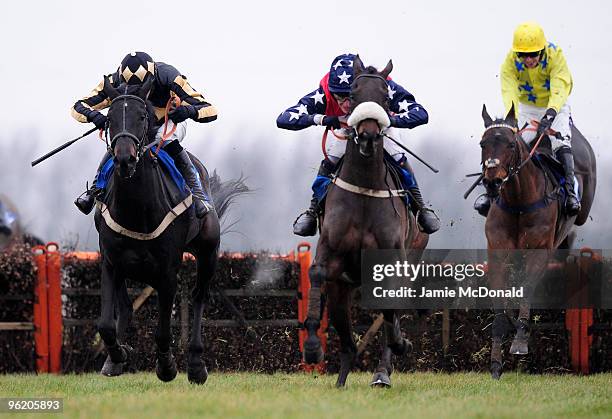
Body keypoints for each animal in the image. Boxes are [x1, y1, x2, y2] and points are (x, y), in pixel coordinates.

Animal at [93, 78, 244, 384]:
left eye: (142, 116)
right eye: (109, 119)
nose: (124, 159)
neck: (137, 209)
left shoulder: (167, 270)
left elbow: (163, 330)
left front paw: (167, 366)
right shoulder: (111, 261)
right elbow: (105, 324)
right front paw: (118, 355)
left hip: (209, 252)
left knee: (198, 297)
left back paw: (196, 364)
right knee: (125, 306)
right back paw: (114, 361)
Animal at [300, 56, 426, 390]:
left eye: (386, 98)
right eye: (353, 95)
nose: (368, 135)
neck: (366, 191)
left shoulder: (392, 261)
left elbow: (390, 314)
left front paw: (400, 344)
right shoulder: (330, 255)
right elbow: (316, 273)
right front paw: (312, 347)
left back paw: (383, 370)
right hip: (342, 289)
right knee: (347, 340)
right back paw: (341, 380)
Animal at [480, 105, 596, 380]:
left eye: (511, 144)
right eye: (482, 144)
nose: (492, 182)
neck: (519, 202)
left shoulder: (539, 252)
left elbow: (526, 290)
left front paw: (520, 341)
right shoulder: (497, 253)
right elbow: (500, 304)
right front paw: (495, 363)